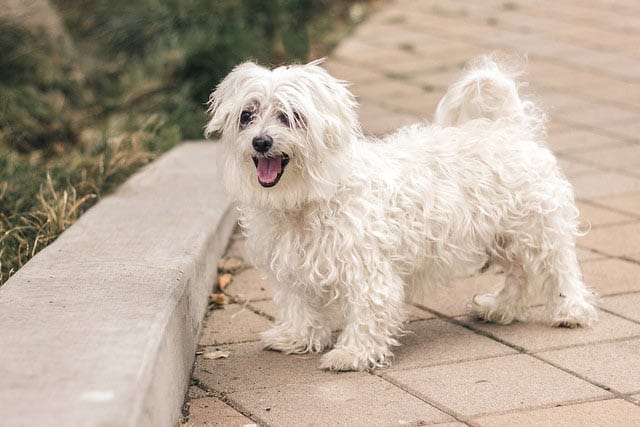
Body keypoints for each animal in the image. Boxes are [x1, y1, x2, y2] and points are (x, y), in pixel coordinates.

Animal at [206, 56, 600, 372]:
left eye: (291, 117)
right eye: (247, 115)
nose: (261, 142)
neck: (308, 198)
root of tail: (510, 127)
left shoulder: (368, 273)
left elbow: (368, 314)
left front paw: (352, 354)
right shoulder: (290, 269)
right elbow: (298, 306)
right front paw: (295, 338)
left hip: (535, 230)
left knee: (560, 269)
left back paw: (571, 311)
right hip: (503, 236)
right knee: (521, 277)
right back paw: (500, 308)